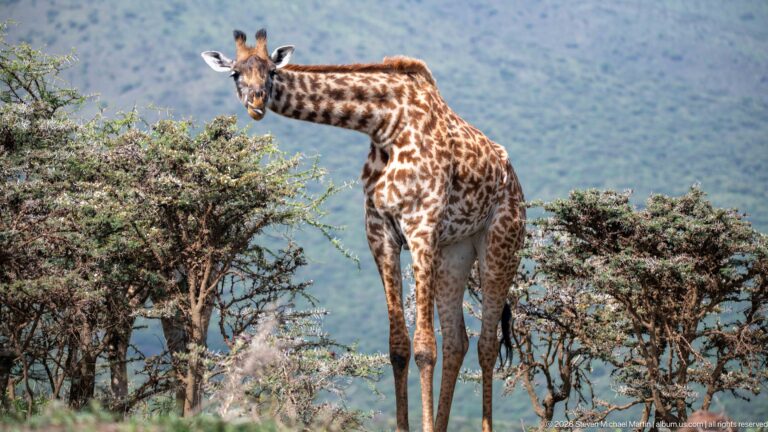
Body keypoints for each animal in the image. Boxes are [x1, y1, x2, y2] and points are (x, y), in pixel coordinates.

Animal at [202, 29, 525, 432]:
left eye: (272, 71)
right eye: (235, 74)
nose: (256, 104)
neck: (385, 125)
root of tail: (515, 181)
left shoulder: (421, 225)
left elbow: (424, 348)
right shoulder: (379, 231)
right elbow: (398, 347)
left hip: (502, 242)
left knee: (486, 343)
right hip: (457, 250)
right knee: (457, 341)